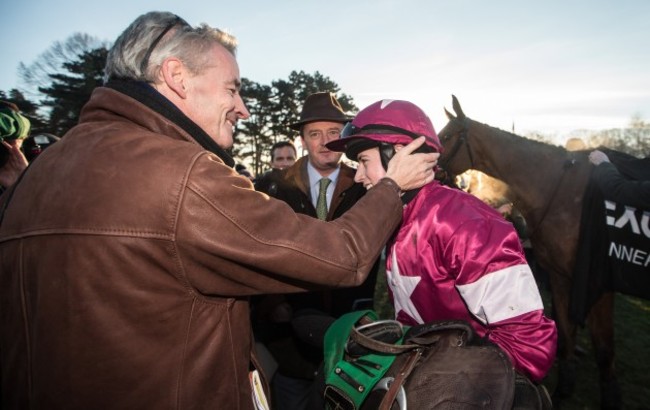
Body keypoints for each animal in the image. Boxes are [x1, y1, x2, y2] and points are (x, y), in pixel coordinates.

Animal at [436, 95, 616, 406]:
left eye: (446, 136)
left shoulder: (600, 286)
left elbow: (604, 352)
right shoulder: (559, 276)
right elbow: (566, 334)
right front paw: (563, 389)